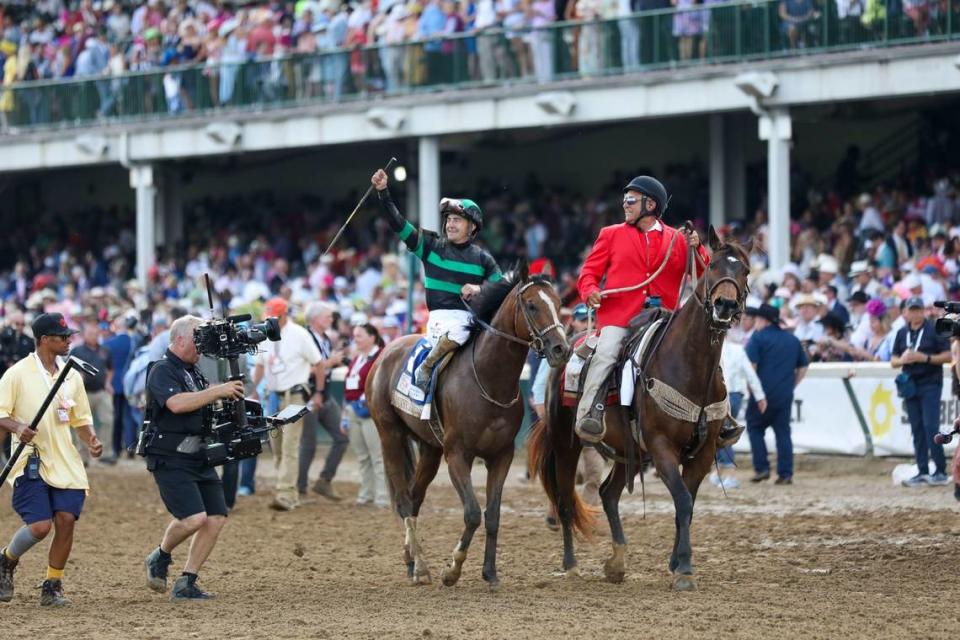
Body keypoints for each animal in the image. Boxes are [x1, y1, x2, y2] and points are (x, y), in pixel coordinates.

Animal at [364, 264, 568, 592]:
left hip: (430, 449)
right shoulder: (458, 454)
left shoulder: (501, 455)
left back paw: (411, 561)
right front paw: (452, 569)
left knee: (415, 497)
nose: (561, 348)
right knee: (404, 500)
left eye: (559, 304)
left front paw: (490, 573)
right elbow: (472, 513)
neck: (489, 379)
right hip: (389, 435)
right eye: (532, 305)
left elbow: (493, 515)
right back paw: (421, 567)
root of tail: (387, 349)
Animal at [528, 229, 752, 592]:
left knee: (608, 494)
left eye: (745, 270)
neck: (690, 365)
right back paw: (571, 565)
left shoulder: (703, 453)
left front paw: (677, 563)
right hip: (566, 444)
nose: (726, 305)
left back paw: (617, 562)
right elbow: (682, 500)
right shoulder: (662, 448)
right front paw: (684, 569)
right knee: (564, 501)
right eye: (713, 266)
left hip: (628, 452)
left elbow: (687, 505)